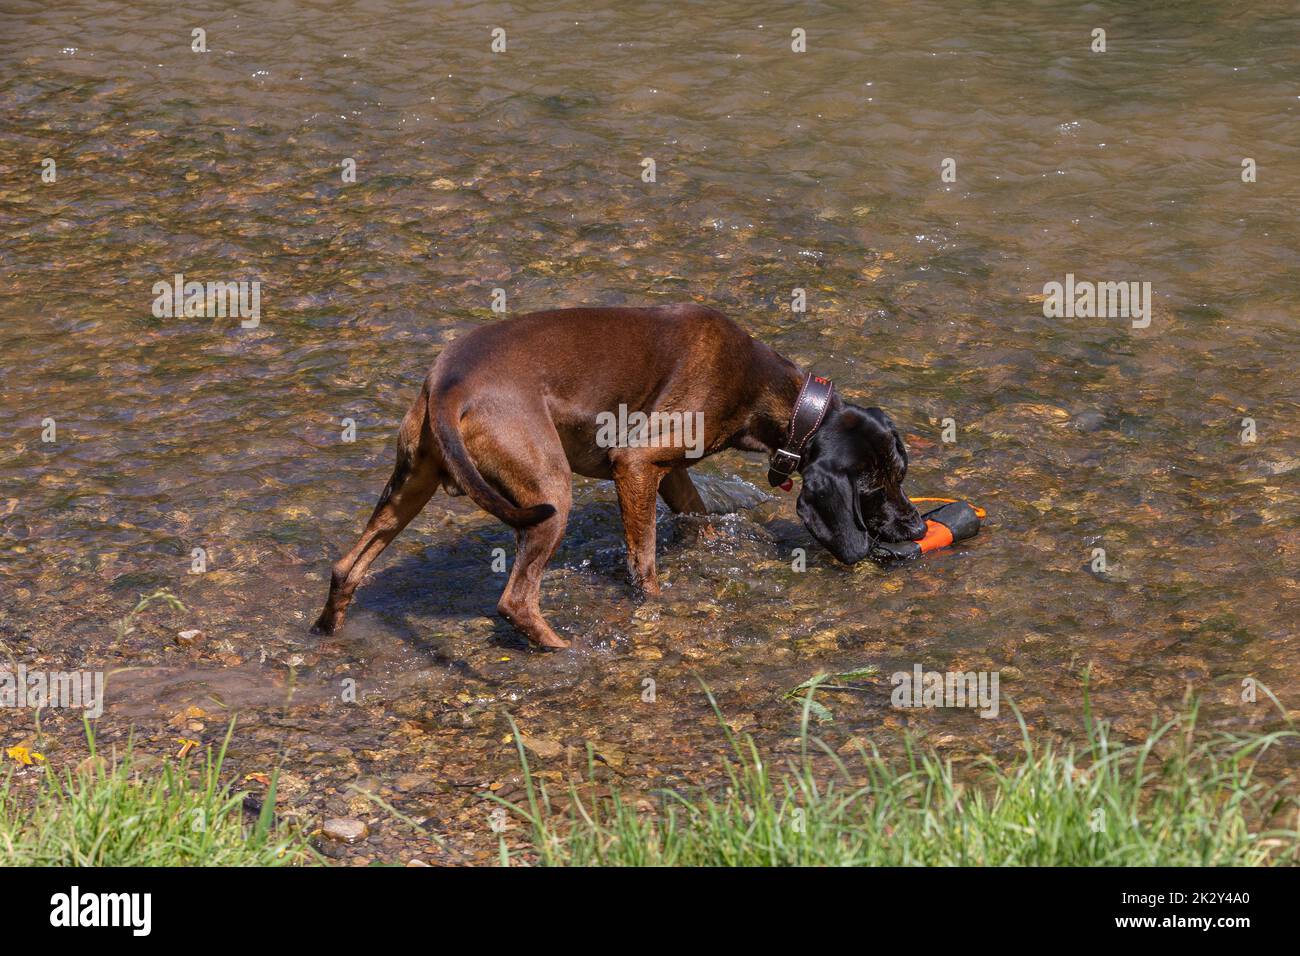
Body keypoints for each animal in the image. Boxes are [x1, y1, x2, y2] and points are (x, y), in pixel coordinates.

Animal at [313, 306, 925, 650]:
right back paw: (563, 650)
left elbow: (701, 524)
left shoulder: (669, 474)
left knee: (347, 567)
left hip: (408, 486)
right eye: (874, 487)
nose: (918, 527)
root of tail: (448, 382)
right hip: (549, 495)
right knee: (516, 600)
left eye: (902, 473)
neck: (778, 395)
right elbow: (645, 567)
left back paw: (326, 630)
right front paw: (655, 606)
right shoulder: (634, 465)